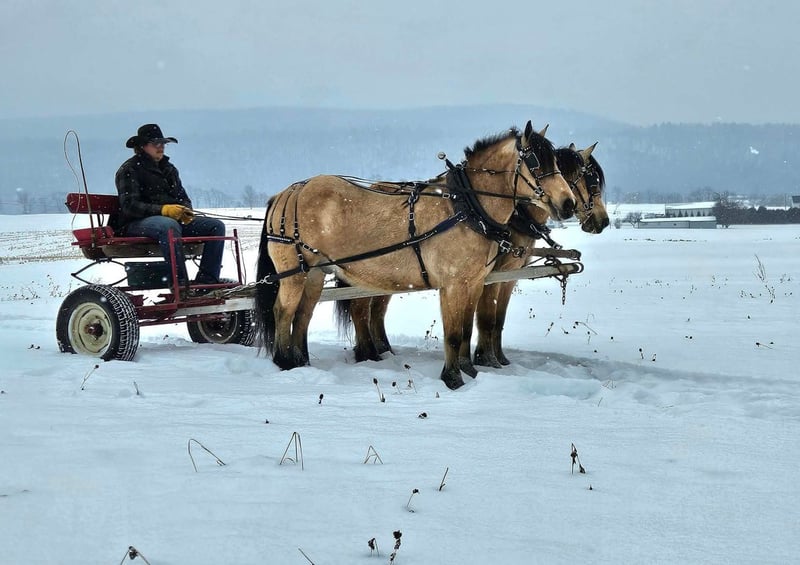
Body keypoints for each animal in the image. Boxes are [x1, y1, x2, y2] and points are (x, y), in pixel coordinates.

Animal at [253, 121, 576, 390]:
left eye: (556, 161)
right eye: (535, 162)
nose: (568, 203)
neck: (467, 208)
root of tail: (289, 192)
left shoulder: (473, 283)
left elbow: (466, 330)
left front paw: (470, 372)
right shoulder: (453, 285)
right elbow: (454, 333)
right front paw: (453, 379)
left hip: (315, 273)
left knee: (303, 314)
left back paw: (300, 363)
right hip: (294, 272)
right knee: (284, 311)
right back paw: (285, 362)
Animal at [338, 142, 608, 368]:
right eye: (590, 180)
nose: (602, 221)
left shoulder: (507, 276)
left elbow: (496, 320)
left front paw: (496, 358)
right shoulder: (491, 276)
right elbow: (487, 318)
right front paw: (486, 359)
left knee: (376, 308)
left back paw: (383, 350)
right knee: (361, 307)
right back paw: (369, 354)